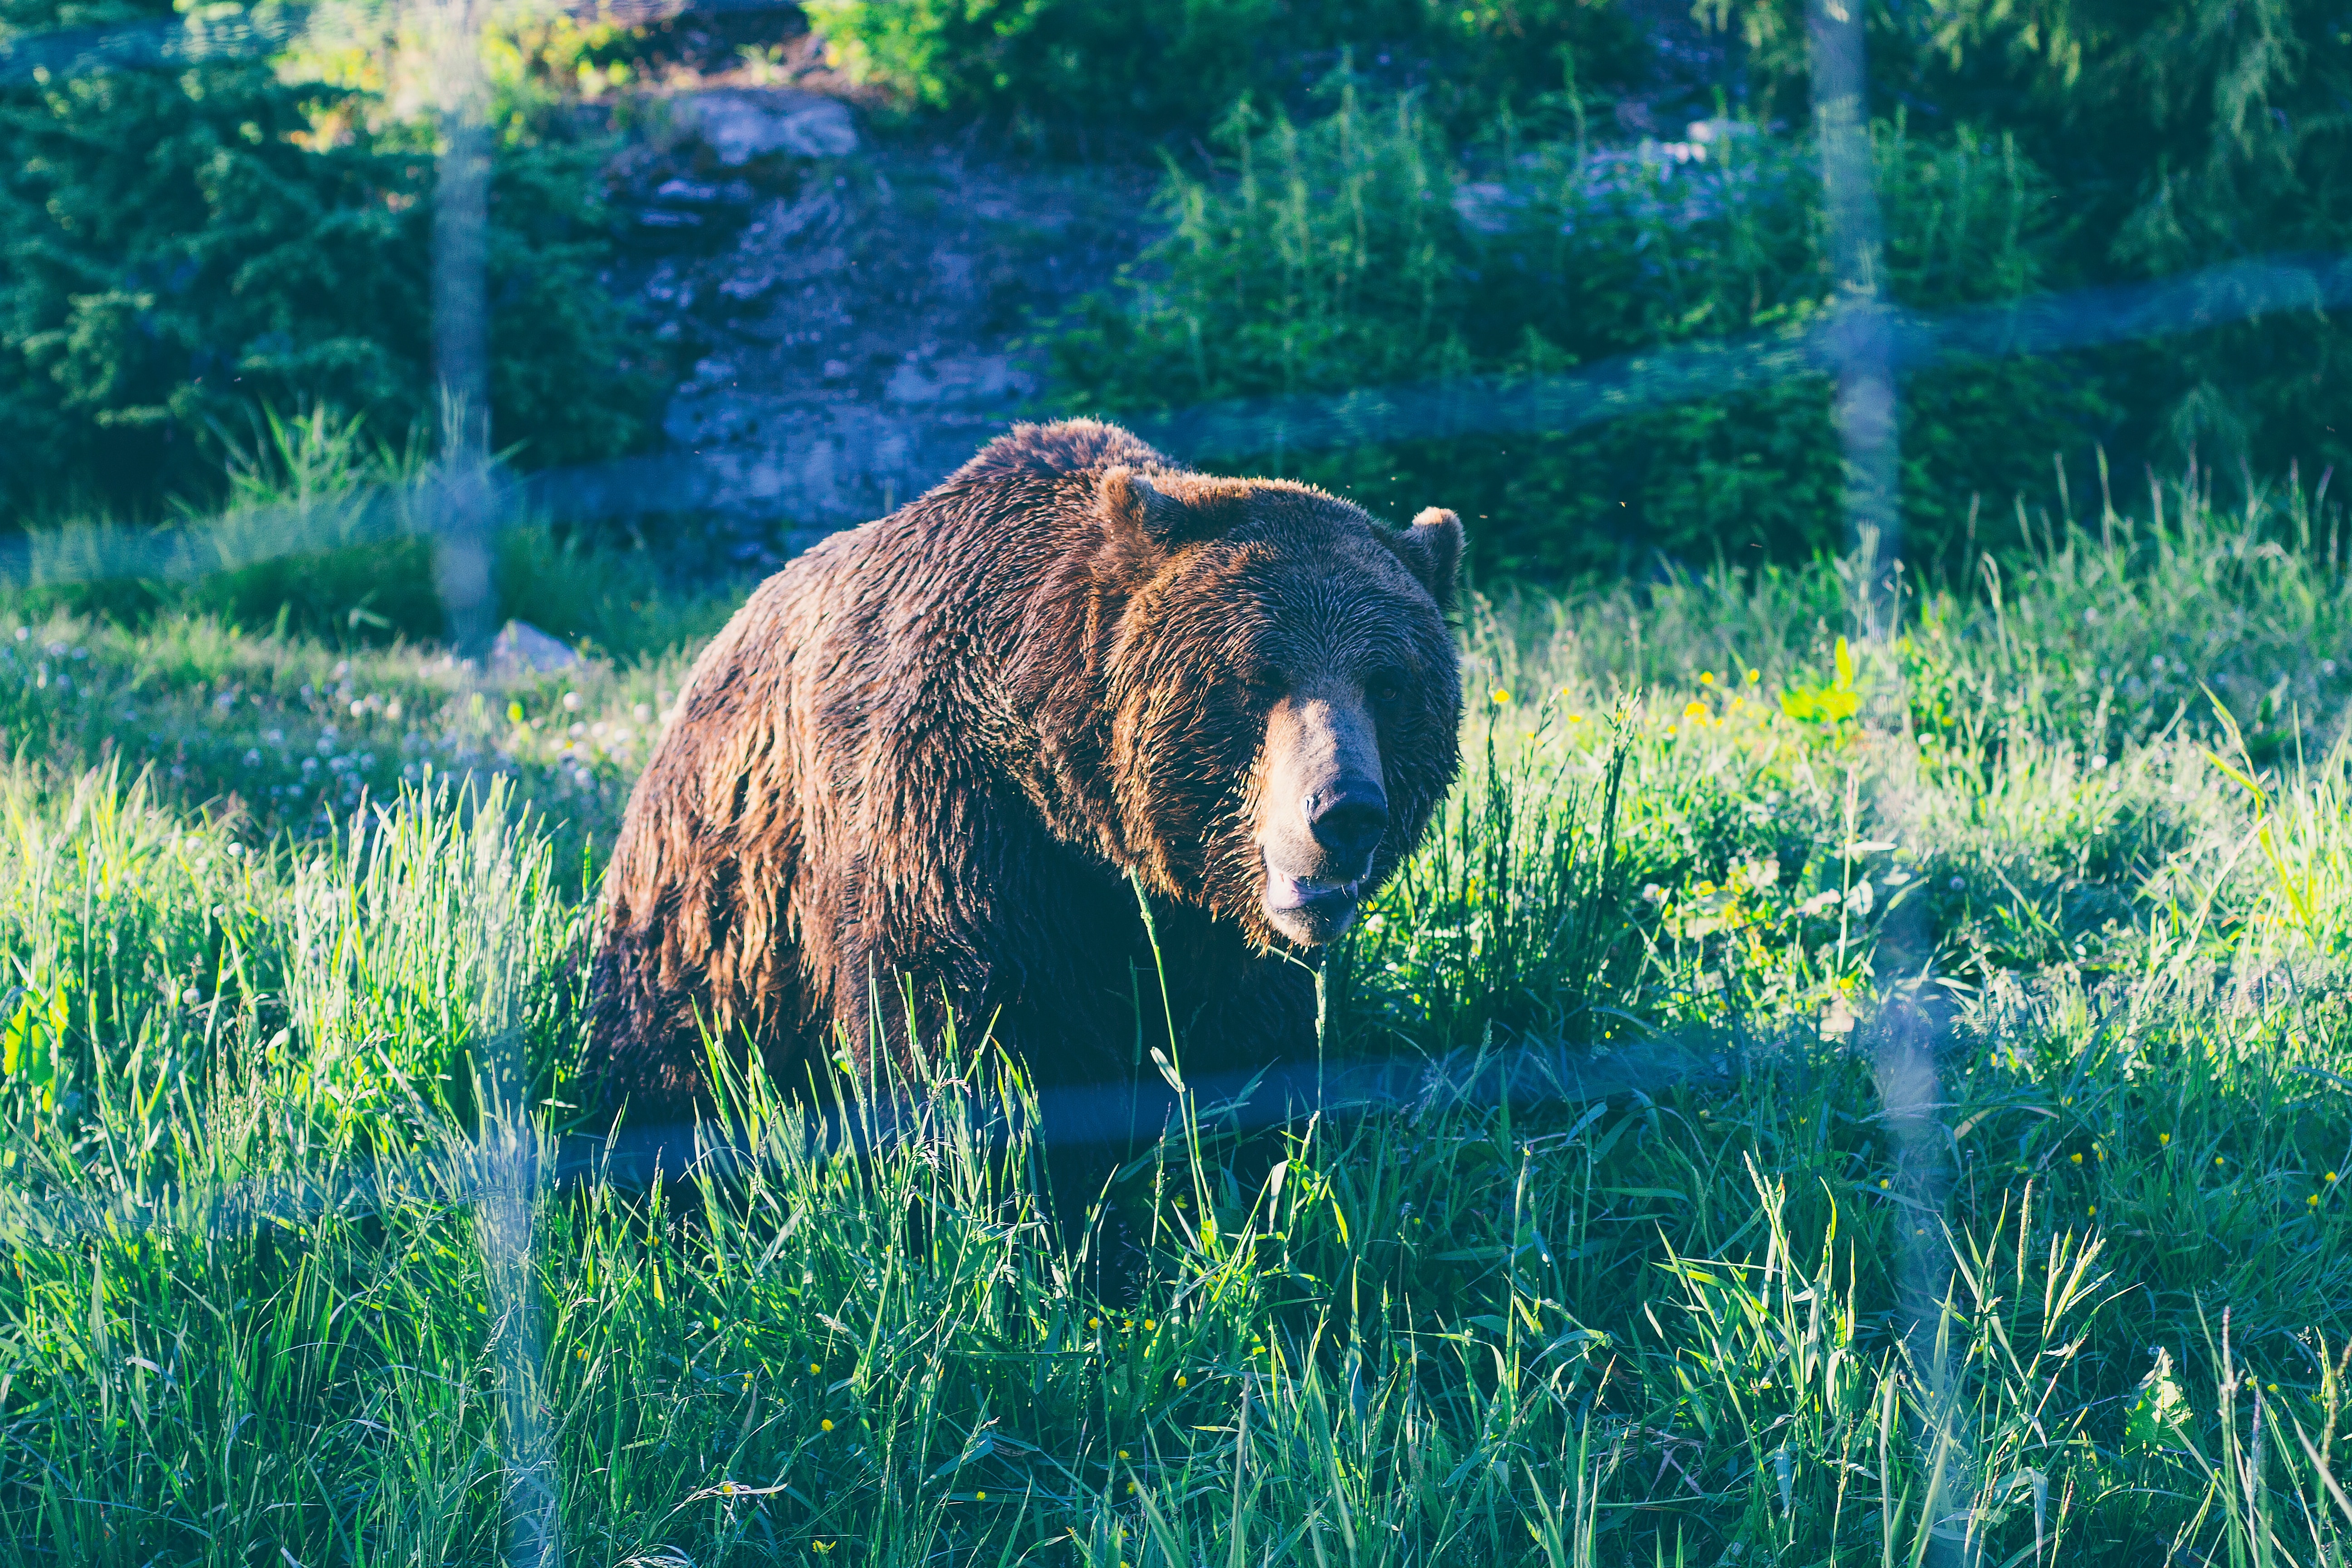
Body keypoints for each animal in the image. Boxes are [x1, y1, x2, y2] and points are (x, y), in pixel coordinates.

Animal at [585, 421, 1458, 1128]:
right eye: (1256, 676)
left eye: (1388, 683)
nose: (1344, 812)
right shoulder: (951, 811)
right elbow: (950, 1020)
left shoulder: (1201, 922)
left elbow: (1244, 1046)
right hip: (713, 909)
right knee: (671, 1044)